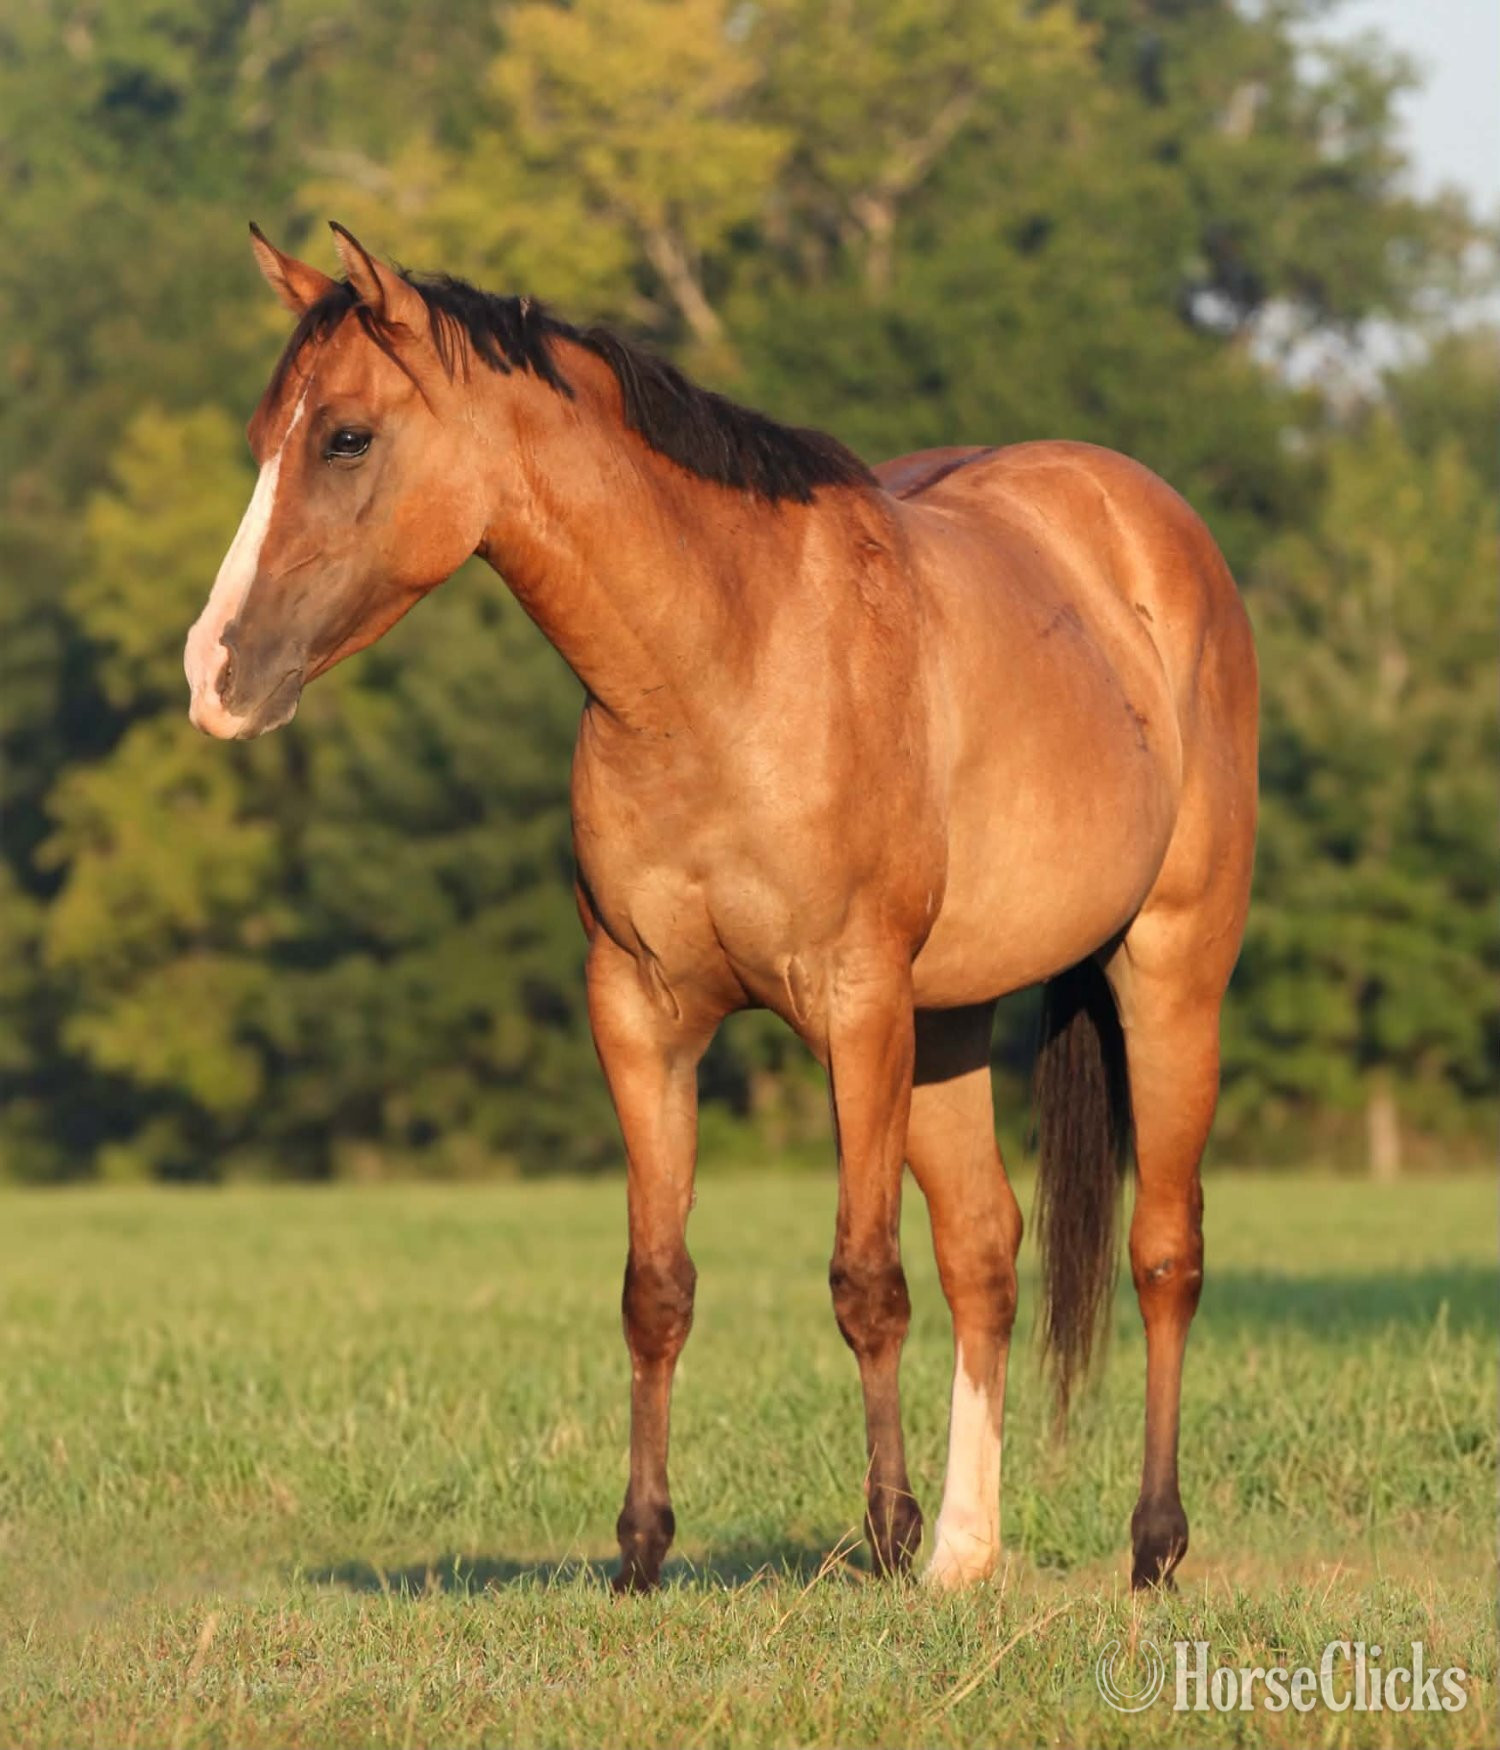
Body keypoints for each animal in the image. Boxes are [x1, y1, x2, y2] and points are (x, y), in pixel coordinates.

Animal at [185, 223, 1257, 1594]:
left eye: (347, 438)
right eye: (265, 433)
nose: (214, 673)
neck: (722, 665)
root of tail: (1144, 525)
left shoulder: (856, 1006)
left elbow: (865, 1279)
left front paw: (881, 1530)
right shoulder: (642, 1014)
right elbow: (658, 1285)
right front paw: (643, 1548)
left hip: (1166, 973)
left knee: (1163, 1253)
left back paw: (1149, 1543)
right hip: (948, 1021)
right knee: (986, 1250)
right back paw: (965, 1555)